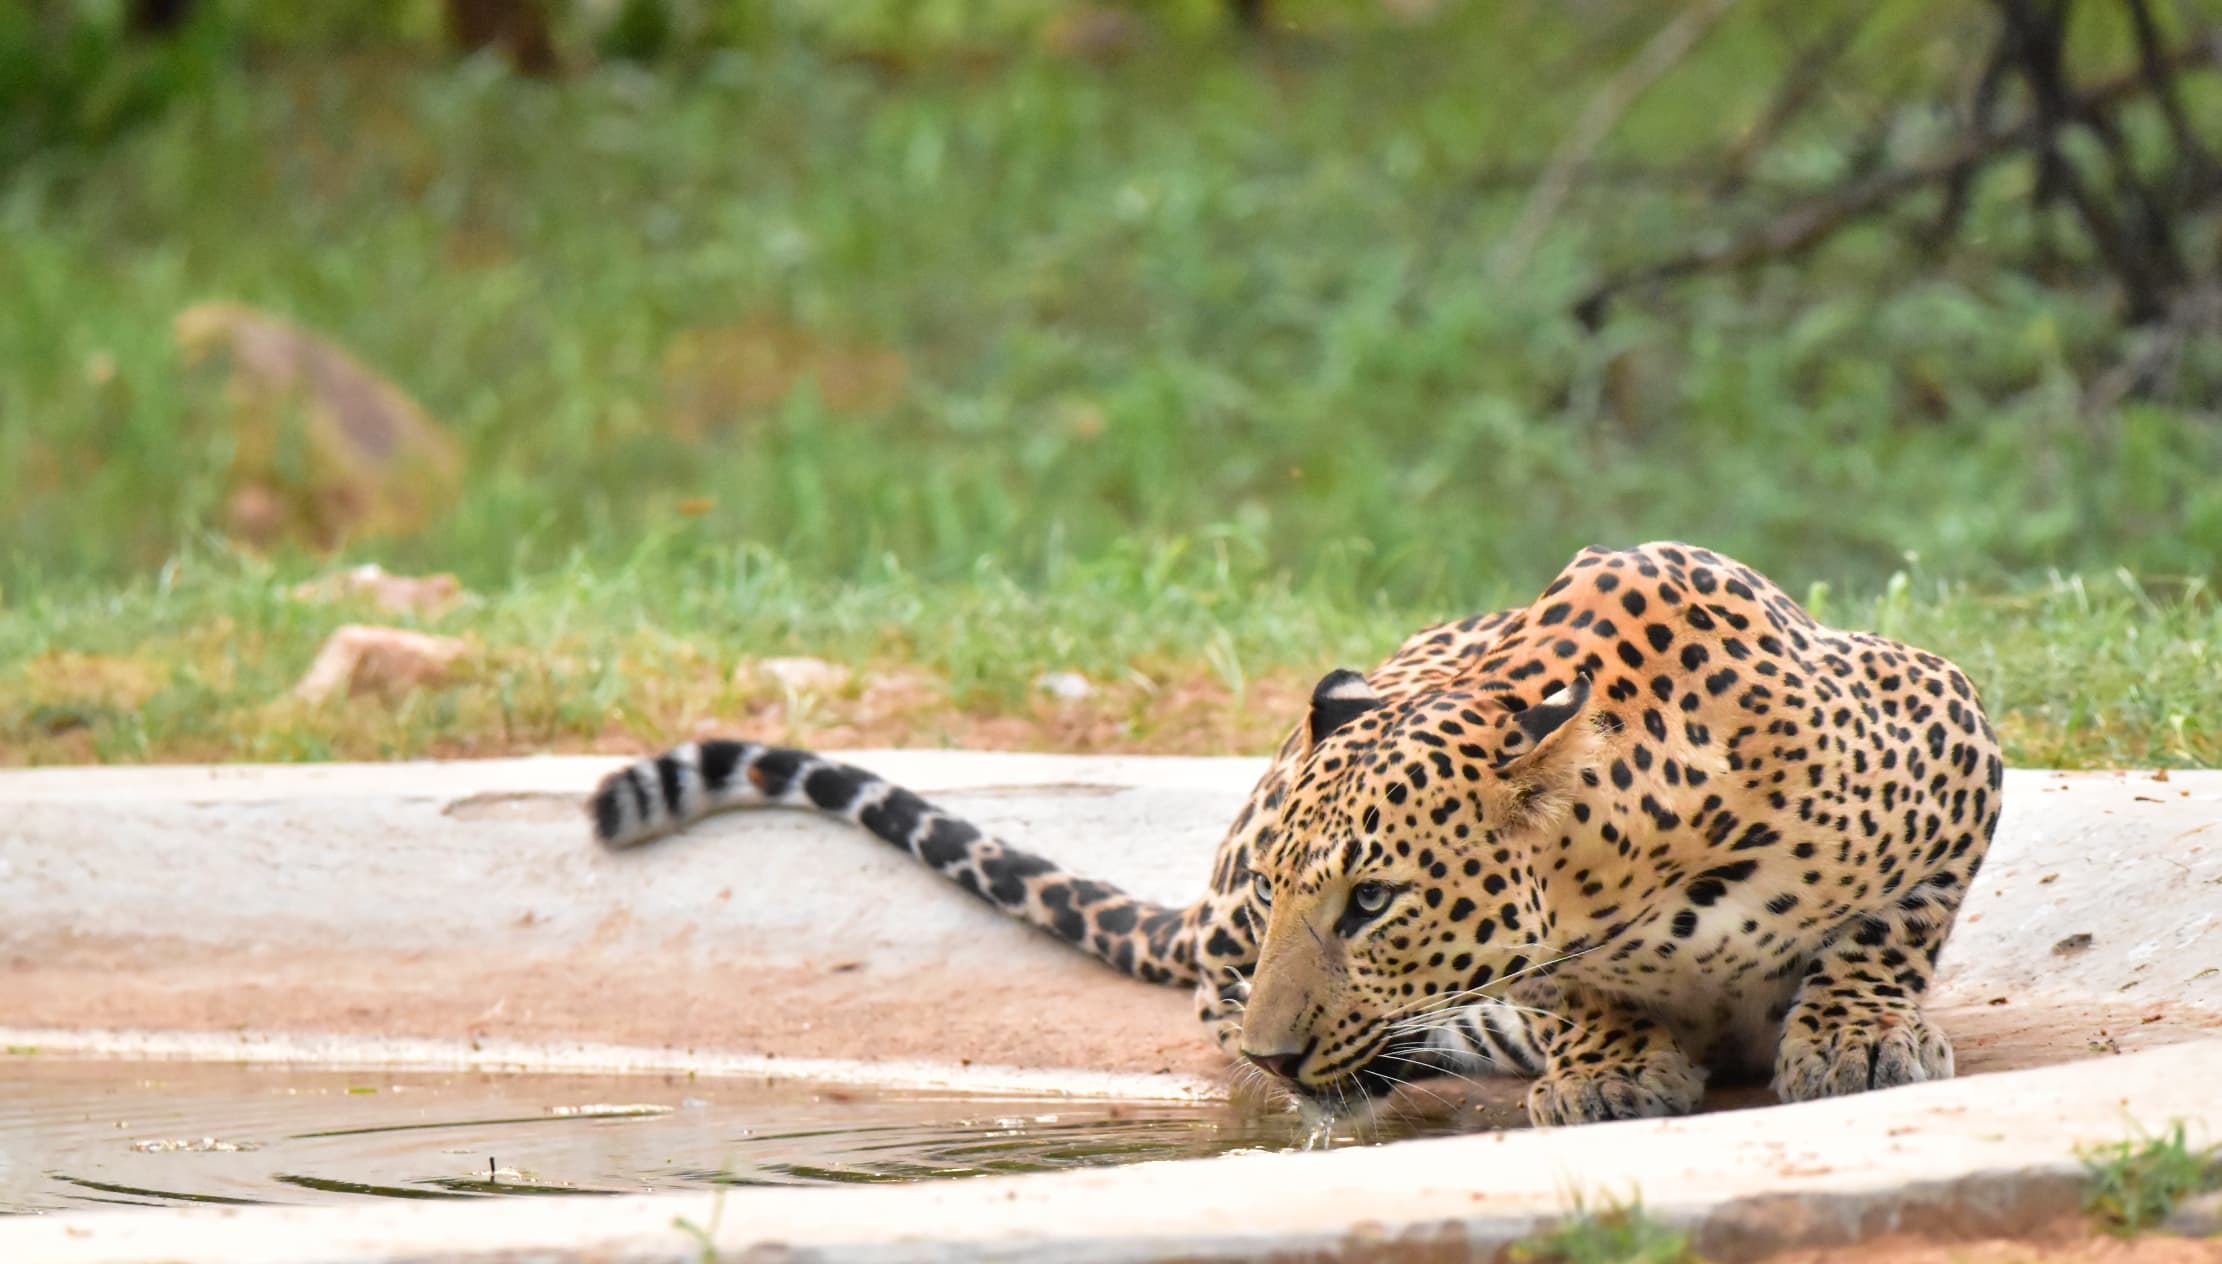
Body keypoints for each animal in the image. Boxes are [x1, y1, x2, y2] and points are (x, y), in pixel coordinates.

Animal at [590, 542, 2003, 1128]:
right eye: (1291, 896)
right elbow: (1565, 989)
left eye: (1371, 902)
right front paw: (1605, 1063)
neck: (1655, 887)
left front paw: (1858, 1034)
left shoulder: (1948, 719)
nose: (1276, 1055)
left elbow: (1889, 922)